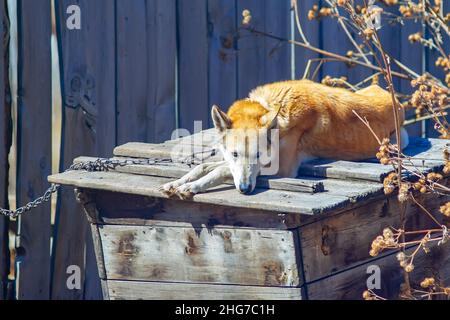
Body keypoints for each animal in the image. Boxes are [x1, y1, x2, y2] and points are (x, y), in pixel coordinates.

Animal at [161, 79, 408, 198]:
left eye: (258, 155)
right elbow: (204, 166)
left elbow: (219, 170)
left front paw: (193, 187)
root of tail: (396, 100)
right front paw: (177, 182)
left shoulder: (282, 169)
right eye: (235, 154)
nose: (244, 189)